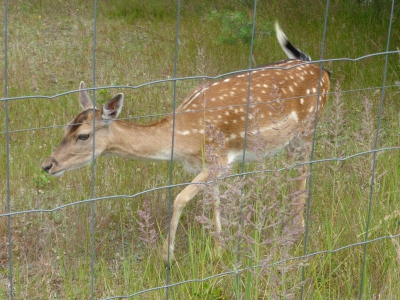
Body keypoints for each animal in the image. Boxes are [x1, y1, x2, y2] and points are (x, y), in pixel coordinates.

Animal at [43, 22, 332, 262]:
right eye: (65, 127)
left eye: (83, 135)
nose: (47, 165)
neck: (182, 140)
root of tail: (321, 69)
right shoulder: (212, 165)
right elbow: (214, 199)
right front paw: (219, 249)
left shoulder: (219, 159)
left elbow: (180, 198)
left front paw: (167, 255)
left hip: (308, 127)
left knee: (305, 169)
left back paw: (297, 227)